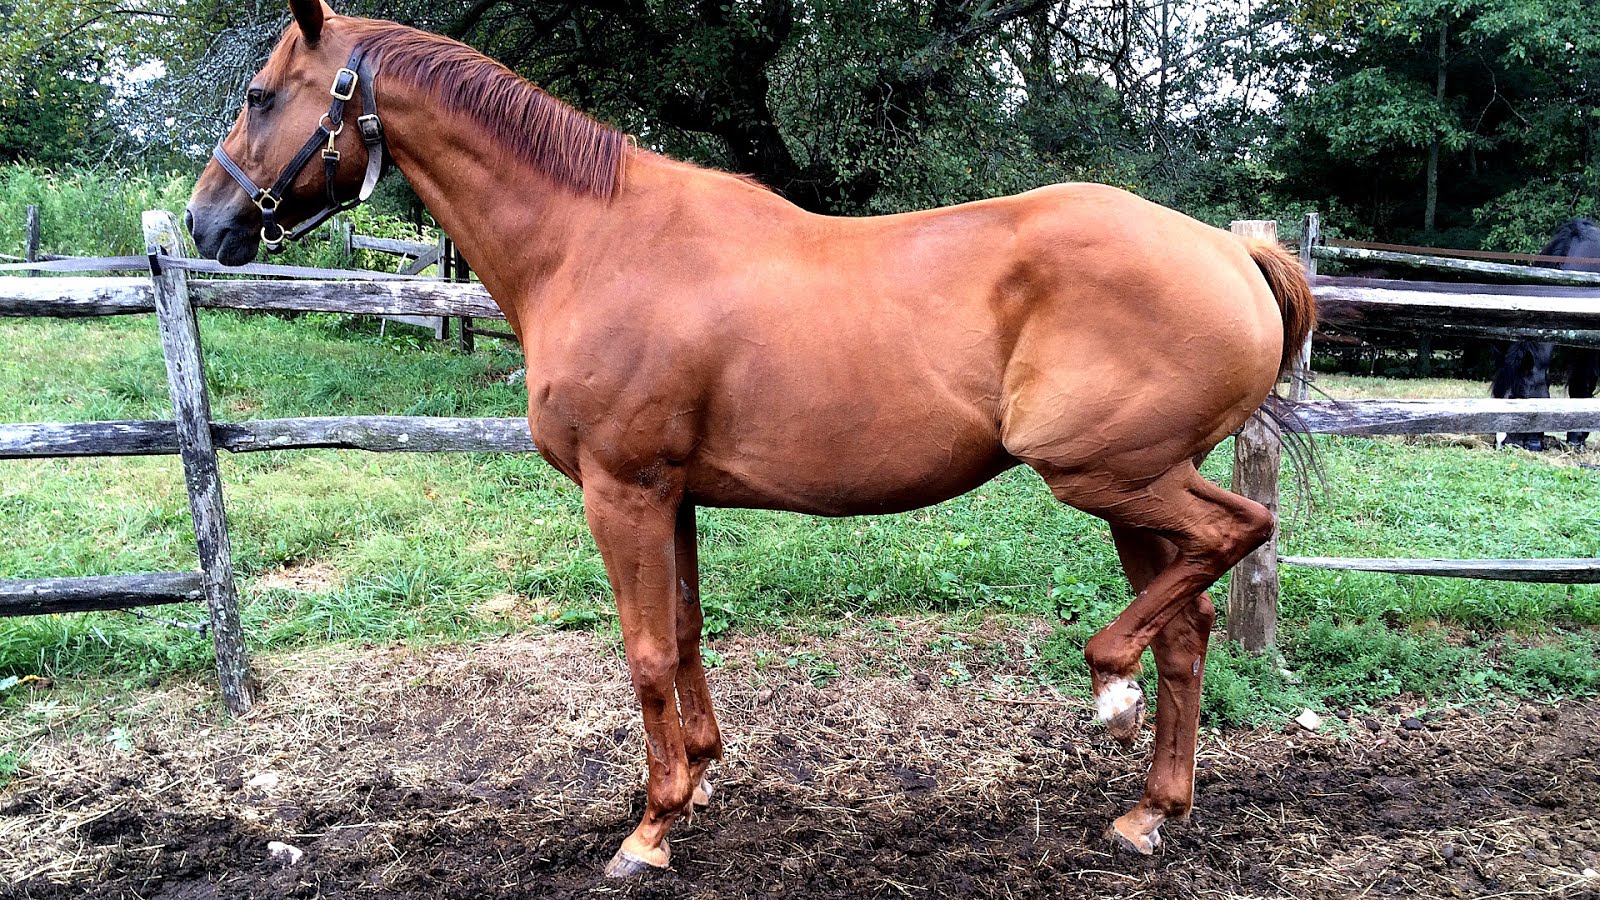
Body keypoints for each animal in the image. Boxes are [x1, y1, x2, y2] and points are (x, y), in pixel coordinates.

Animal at [185, 0, 1316, 876]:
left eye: (258, 95)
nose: (204, 225)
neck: (591, 241)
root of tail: (1228, 250)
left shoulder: (622, 489)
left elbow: (643, 652)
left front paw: (648, 829)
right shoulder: (673, 494)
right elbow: (685, 635)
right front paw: (699, 779)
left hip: (1103, 473)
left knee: (1236, 536)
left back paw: (1110, 687)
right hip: (1131, 487)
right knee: (1188, 627)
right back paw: (1148, 812)